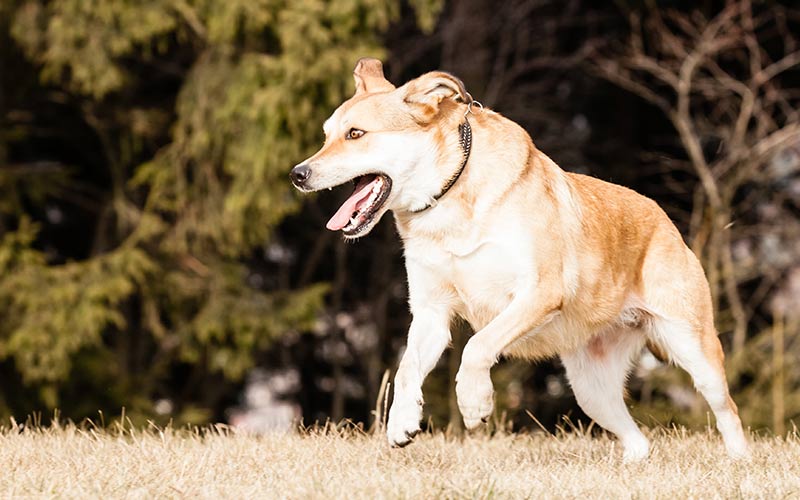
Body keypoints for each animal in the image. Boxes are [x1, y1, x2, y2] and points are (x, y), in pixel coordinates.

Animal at [292, 57, 752, 460]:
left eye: (356, 134)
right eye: (326, 134)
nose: (298, 174)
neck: (450, 196)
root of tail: (665, 220)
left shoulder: (538, 293)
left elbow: (478, 345)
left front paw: (475, 403)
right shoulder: (430, 312)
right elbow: (407, 368)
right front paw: (402, 423)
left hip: (694, 348)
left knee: (726, 409)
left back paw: (737, 460)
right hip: (590, 388)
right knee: (637, 438)